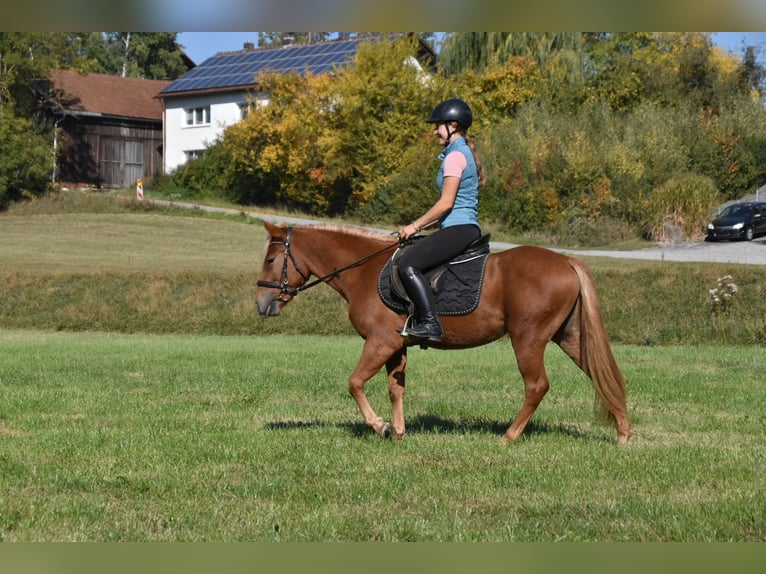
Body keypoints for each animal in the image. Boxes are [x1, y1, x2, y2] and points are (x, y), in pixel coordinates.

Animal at [255, 220, 635, 445]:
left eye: (271, 260)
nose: (262, 304)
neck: (364, 271)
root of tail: (565, 260)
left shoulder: (380, 341)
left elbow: (355, 383)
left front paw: (380, 426)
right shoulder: (396, 344)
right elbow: (395, 388)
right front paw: (399, 431)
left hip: (528, 339)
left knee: (537, 386)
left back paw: (509, 436)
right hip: (569, 337)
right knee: (601, 375)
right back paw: (624, 432)